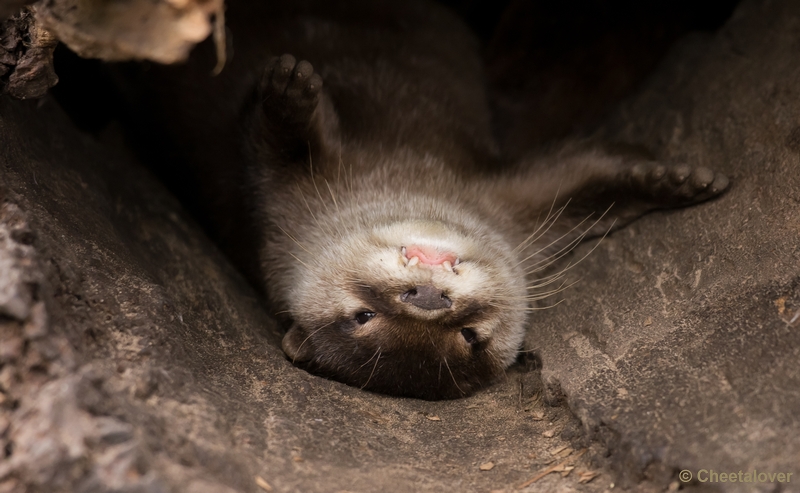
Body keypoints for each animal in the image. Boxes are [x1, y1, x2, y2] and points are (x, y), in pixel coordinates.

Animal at [133, 0, 732, 400]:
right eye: (363, 317)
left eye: (470, 336)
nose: (427, 299)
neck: (408, 175)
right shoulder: (282, 201)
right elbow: (267, 148)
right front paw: (288, 93)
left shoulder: (513, 205)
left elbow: (586, 182)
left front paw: (680, 181)